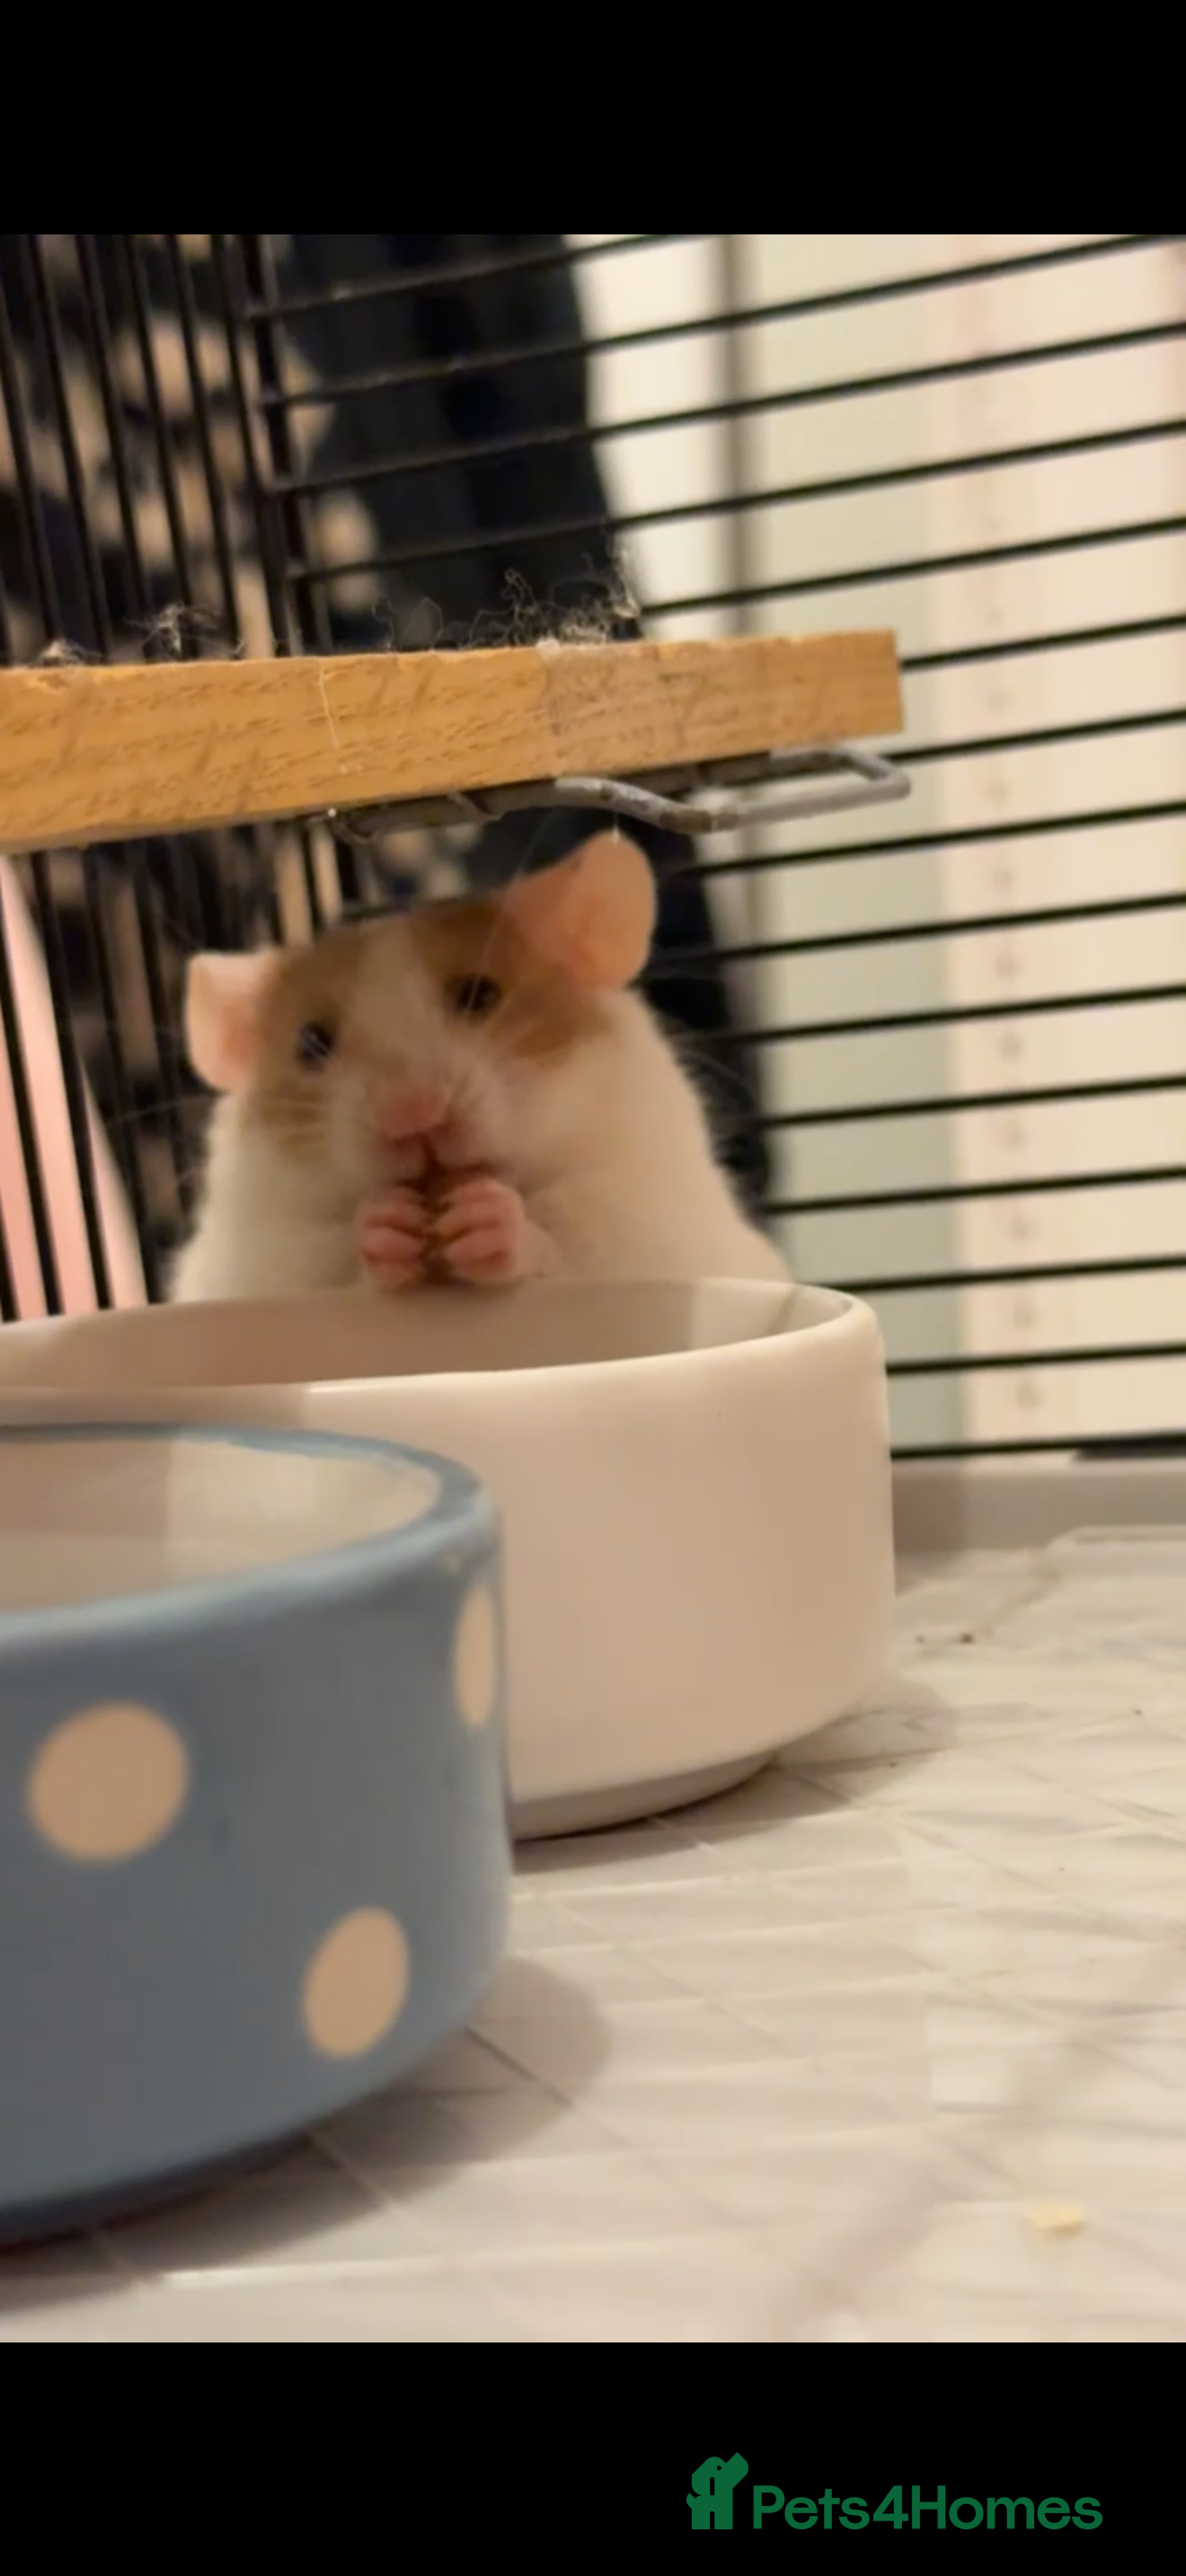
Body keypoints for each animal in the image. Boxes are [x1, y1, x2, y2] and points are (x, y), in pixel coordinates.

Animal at [169, 828, 788, 1303]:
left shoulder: (647, 1222)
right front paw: (388, 1222)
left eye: (479, 995)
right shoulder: (263, 1258)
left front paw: (484, 1219)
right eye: (311, 1043)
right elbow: (340, 1266)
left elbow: (563, 1253)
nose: (412, 1115)